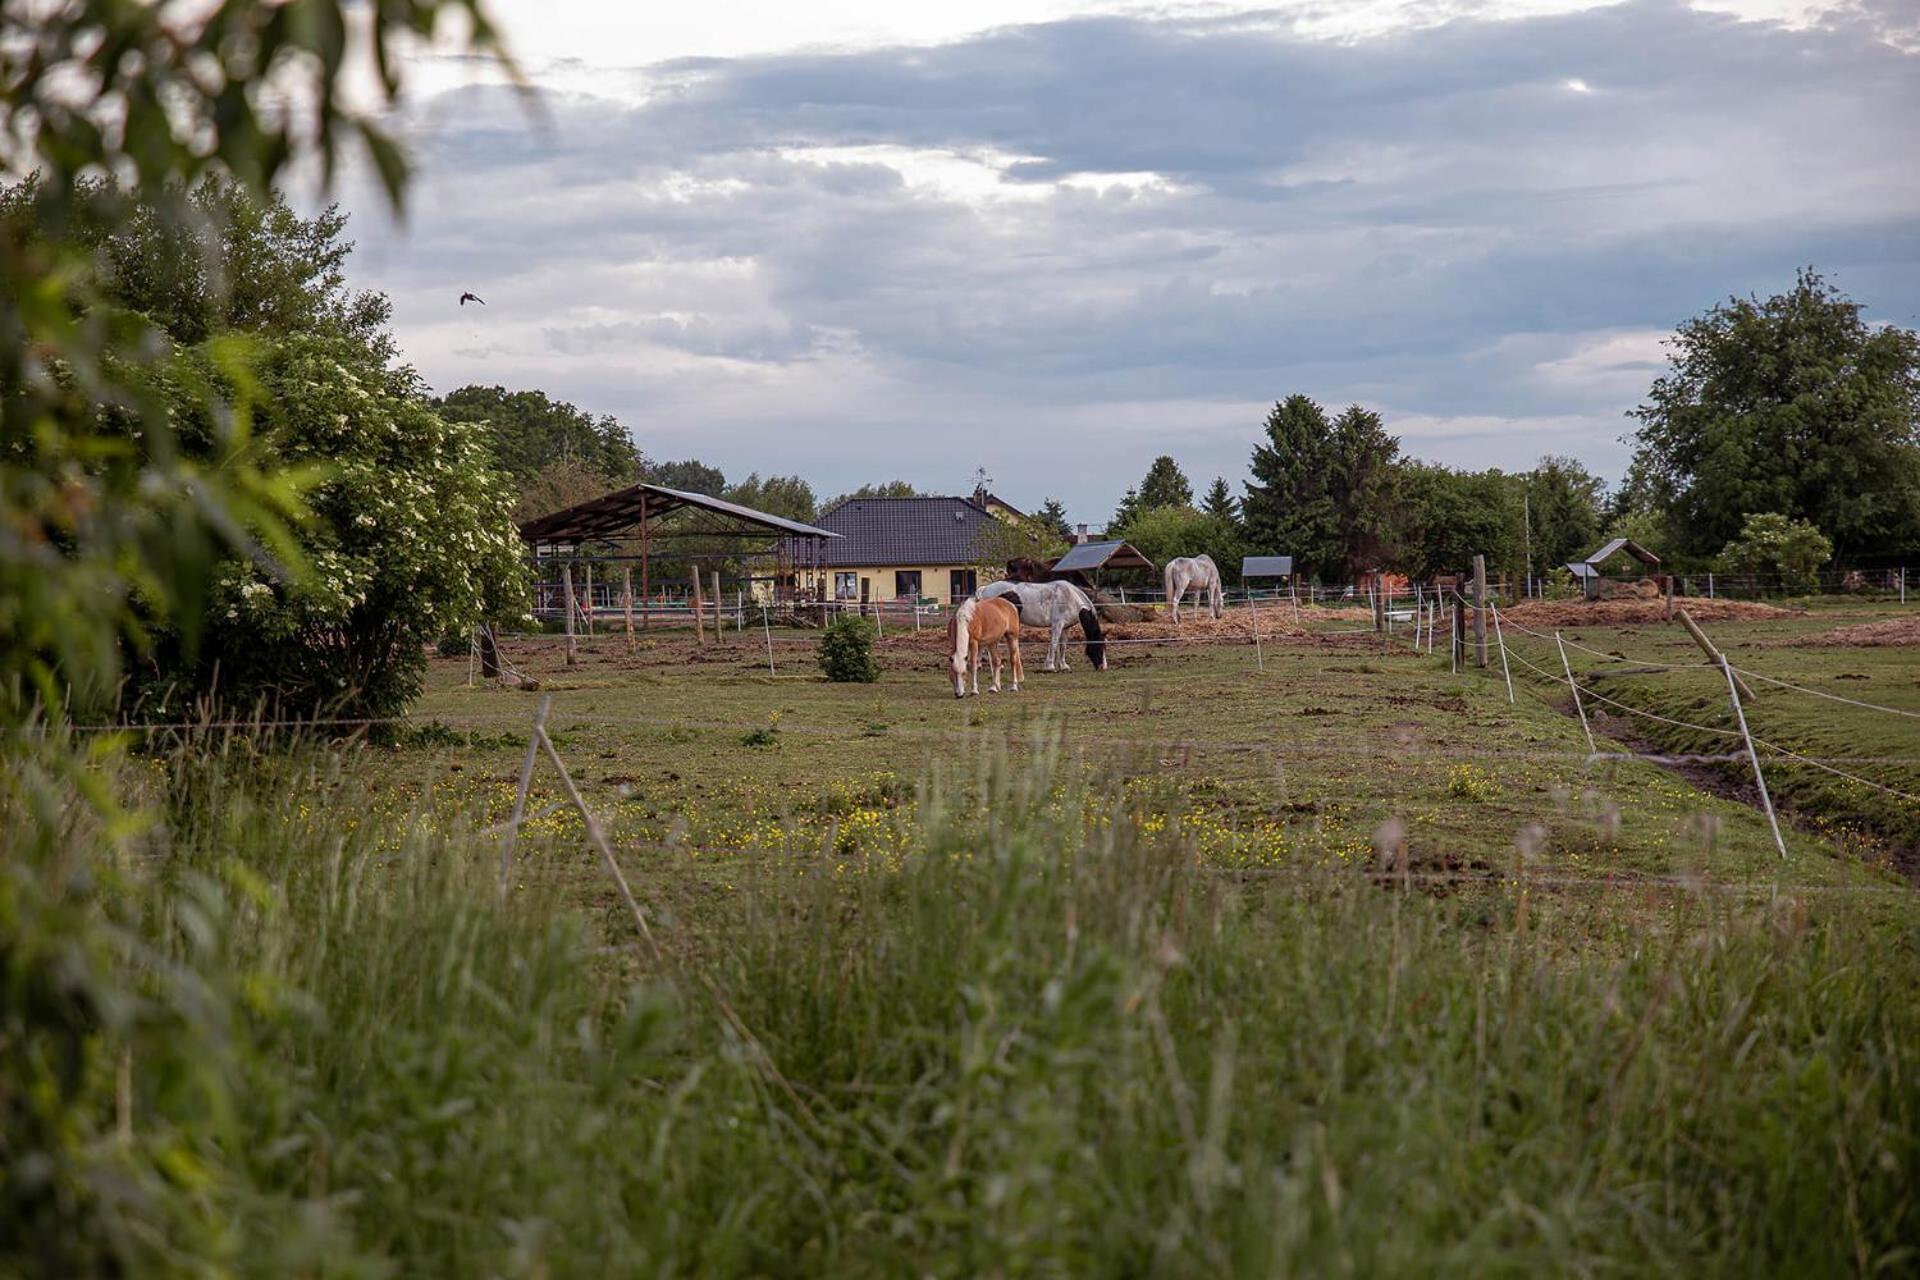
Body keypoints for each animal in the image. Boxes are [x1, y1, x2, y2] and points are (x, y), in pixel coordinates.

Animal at [975, 583, 1113, 675]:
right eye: (1099, 646)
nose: (1103, 667)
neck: (1070, 598)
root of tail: (985, 589)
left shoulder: (1066, 628)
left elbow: (1063, 646)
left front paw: (1063, 666)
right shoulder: (1057, 625)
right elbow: (1053, 644)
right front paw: (1050, 666)